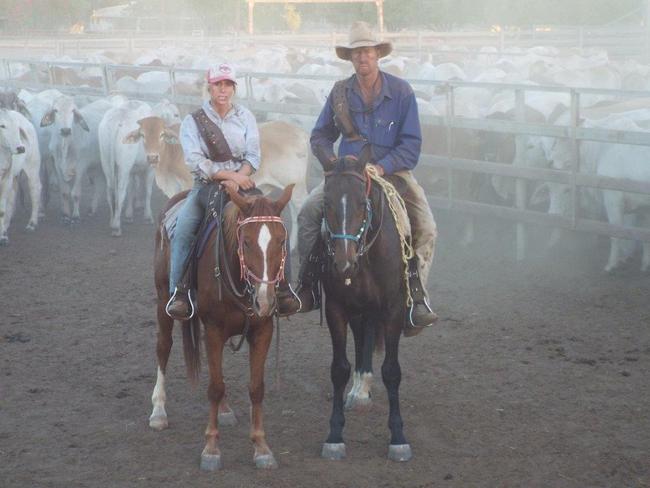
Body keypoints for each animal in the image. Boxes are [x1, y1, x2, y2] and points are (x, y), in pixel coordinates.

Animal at [149, 182, 292, 468]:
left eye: (282, 241)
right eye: (246, 242)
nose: (265, 301)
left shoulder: (263, 331)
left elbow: (255, 388)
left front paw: (261, 447)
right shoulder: (214, 329)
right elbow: (214, 387)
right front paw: (211, 449)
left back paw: (225, 411)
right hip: (162, 301)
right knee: (163, 347)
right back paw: (158, 411)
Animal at [320, 152, 416, 462]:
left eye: (363, 204)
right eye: (326, 202)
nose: (343, 264)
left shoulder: (393, 309)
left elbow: (392, 371)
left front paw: (398, 438)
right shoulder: (337, 308)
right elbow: (339, 369)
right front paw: (334, 436)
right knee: (363, 339)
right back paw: (359, 391)